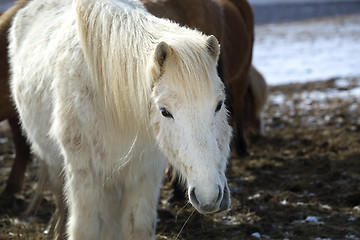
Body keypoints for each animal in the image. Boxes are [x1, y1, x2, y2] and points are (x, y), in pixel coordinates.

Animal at [9, 0, 233, 238]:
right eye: (164, 111)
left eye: (219, 104)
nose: (209, 196)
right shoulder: (87, 180)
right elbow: (85, 228)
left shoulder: (144, 178)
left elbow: (137, 228)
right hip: (55, 164)